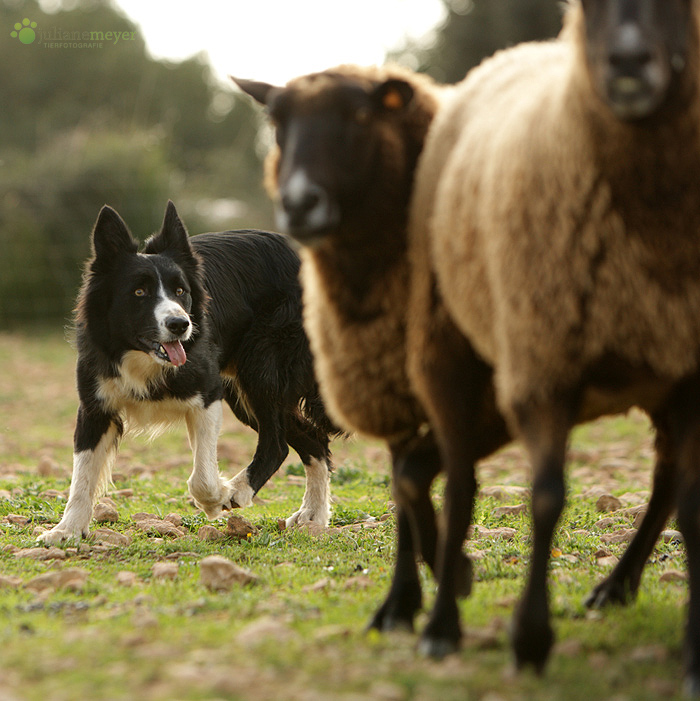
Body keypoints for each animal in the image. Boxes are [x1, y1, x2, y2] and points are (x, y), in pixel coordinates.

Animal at [38, 200, 340, 544]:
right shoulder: (95, 404)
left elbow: (202, 477)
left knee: (277, 443)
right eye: (139, 293)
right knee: (313, 441)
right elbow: (82, 475)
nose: (180, 325)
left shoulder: (207, 393)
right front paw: (66, 531)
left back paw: (239, 491)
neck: (140, 356)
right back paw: (313, 516)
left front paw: (217, 497)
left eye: (180, 291)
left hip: (262, 364)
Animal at [232, 65, 512, 636]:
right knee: (306, 440)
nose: (299, 203)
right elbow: (406, 482)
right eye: (276, 123)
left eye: (360, 115)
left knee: (286, 442)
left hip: (260, 369)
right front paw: (408, 600)